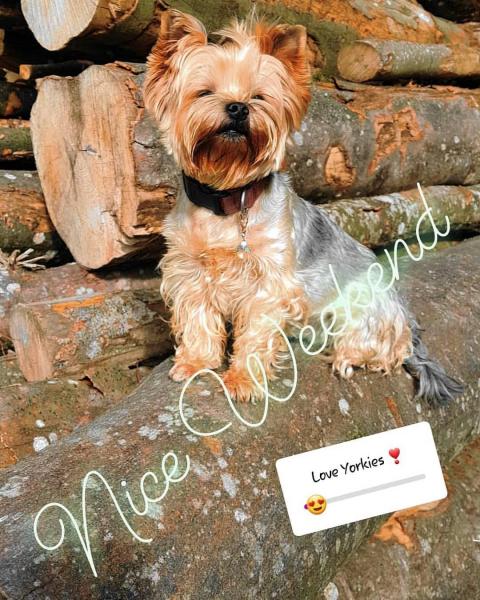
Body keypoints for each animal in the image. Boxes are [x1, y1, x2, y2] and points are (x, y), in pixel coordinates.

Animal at [144, 9, 463, 404]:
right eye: (204, 92)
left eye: (259, 97)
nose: (238, 107)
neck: (228, 197)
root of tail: (400, 305)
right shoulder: (189, 270)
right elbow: (197, 317)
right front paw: (196, 363)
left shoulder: (269, 281)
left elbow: (256, 333)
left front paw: (243, 380)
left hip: (364, 308)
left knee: (386, 347)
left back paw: (347, 358)